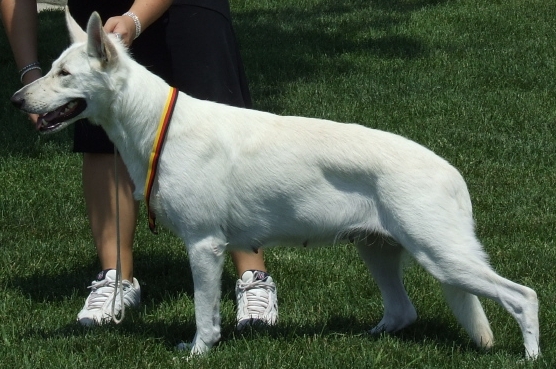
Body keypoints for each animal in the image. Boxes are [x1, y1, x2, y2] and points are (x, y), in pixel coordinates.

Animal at [10, 10, 540, 356]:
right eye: (52, 68)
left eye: (65, 74)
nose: (16, 100)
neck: (154, 122)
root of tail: (451, 171)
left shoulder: (203, 245)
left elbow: (204, 313)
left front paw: (198, 351)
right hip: (378, 249)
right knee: (402, 311)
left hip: (441, 255)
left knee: (523, 297)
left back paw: (530, 355)